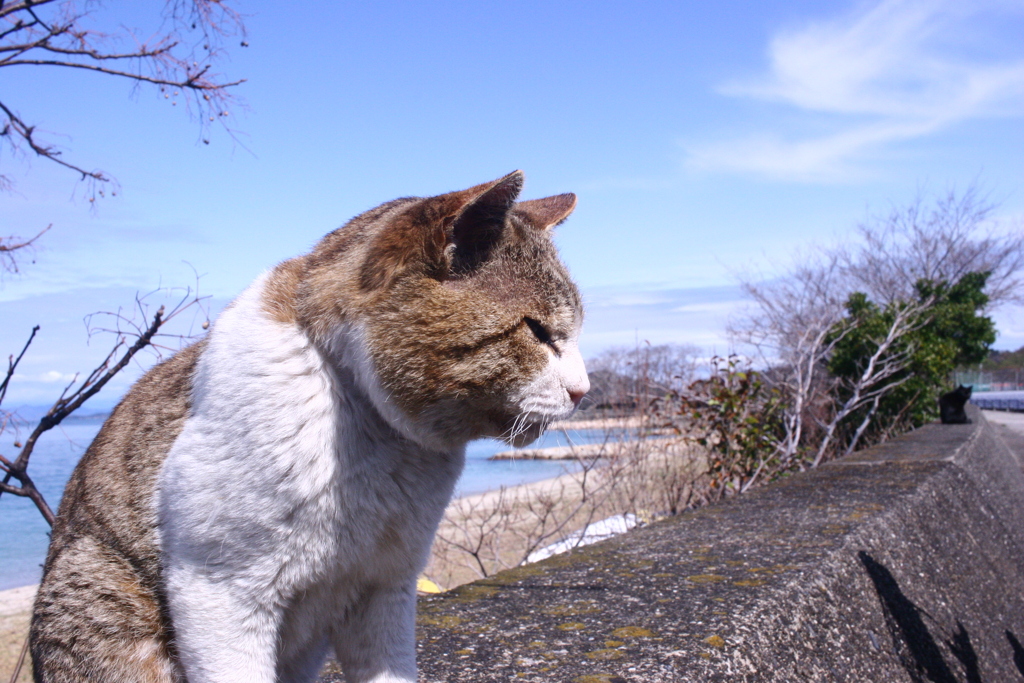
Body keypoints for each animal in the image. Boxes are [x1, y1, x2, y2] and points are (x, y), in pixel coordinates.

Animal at [32, 172, 589, 683]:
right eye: (537, 331)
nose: (584, 390)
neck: (380, 442)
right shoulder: (218, 593)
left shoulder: (385, 585)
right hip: (94, 584)